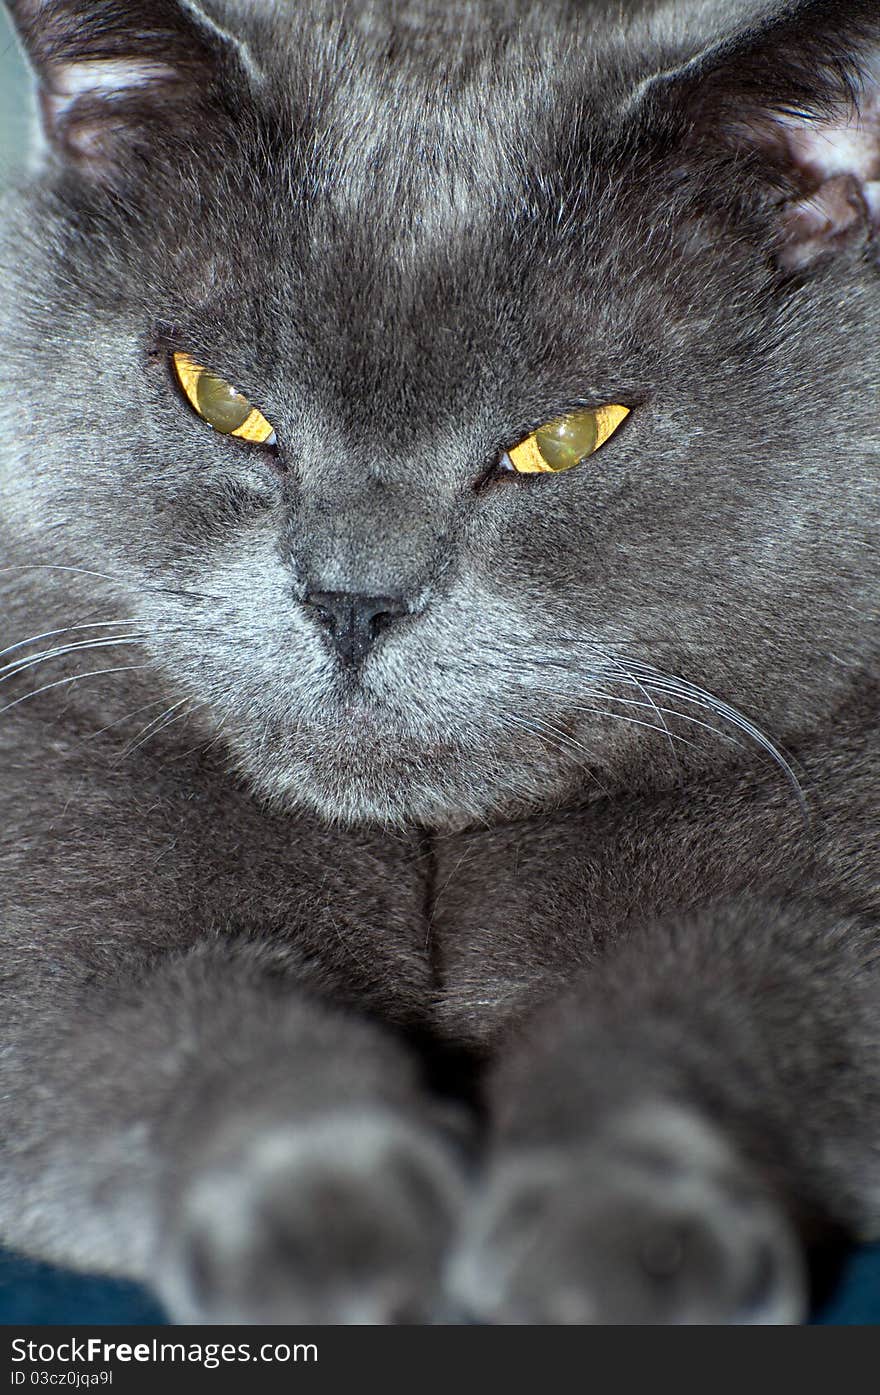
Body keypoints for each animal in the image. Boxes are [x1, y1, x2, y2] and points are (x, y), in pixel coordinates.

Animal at [0, 0, 875, 1328]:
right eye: (219, 398)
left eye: (566, 438)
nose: (352, 599)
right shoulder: (50, 849)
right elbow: (166, 1005)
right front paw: (330, 1218)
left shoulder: (838, 880)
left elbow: (744, 988)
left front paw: (625, 1238)